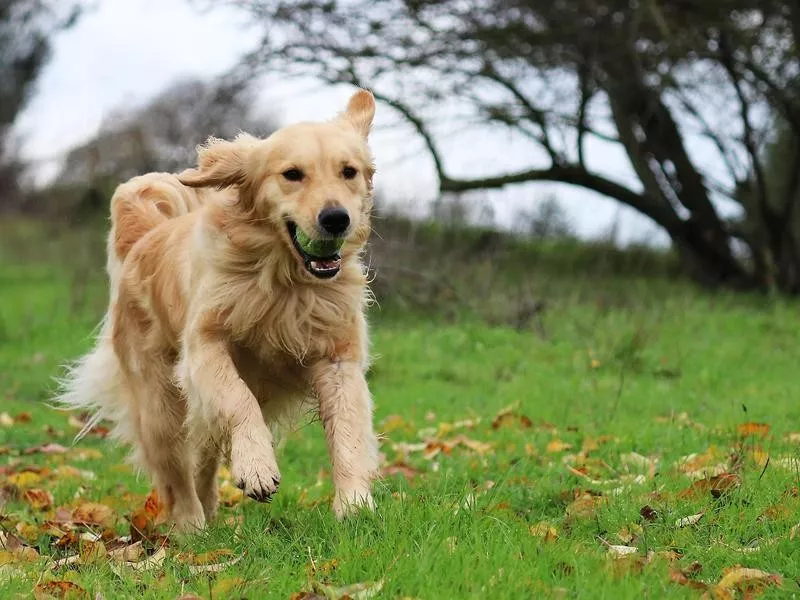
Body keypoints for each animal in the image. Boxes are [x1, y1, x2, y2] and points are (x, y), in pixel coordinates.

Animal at [59, 89, 378, 528]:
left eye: (348, 171)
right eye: (292, 174)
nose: (336, 218)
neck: (284, 282)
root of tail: (143, 237)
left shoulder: (337, 357)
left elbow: (348, 430)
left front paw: (354, 505)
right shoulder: (204, 347)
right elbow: (238, 397)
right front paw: (257, 467)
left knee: (203, 459)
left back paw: (210, 511)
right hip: (160, 405)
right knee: (176, 475)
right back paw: (192, 527)